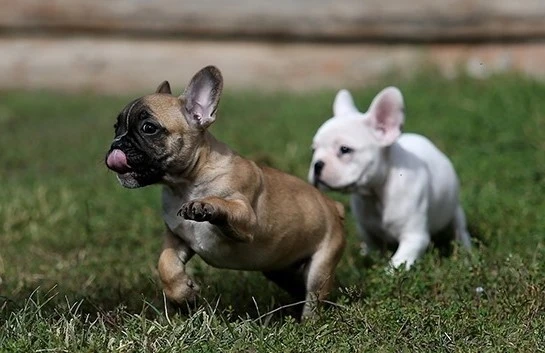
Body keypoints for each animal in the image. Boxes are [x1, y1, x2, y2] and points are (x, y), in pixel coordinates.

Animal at [105, 66, 344, 320]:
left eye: (148, 128)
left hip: (320, 266)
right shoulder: (177, 237)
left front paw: (205, 205)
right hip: (280, 269)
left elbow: (227, 206)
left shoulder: (247, 220)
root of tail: (334, 206)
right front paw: (183, 295)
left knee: (313, 297)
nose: (116, 144)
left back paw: (307, 321)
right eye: (116, 127)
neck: (187, 183)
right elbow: (166, 264)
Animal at [308, 86, 470, 268]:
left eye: (345, 149)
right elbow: (372, 248)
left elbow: (397, 262)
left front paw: (388, 272)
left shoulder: (414, 237)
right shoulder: (367, 231)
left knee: (460, 229)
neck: (376, 193)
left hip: (455, 211)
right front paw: (367, 257)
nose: (317, 165)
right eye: (313, 150)